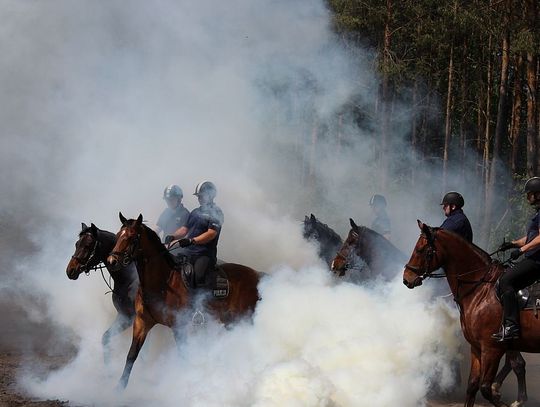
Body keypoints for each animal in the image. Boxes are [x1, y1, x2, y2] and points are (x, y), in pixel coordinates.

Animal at [66, 223, 139, 364]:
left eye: (88, 245)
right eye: (77, 244)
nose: (70, 270)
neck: (128, 281)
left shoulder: (132, 317)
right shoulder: (123, 315)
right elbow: (105, 338)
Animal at [106, 214, 262, 388]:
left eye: (132, 237)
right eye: (118, 236)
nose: (112, 260)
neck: (162, 281)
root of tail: (257, 275)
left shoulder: (178, 326)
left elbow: (183, 355)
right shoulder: (142, 321)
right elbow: (131, 355)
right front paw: (119, 388)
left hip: (245, 318)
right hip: (230, 321)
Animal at [404, 223, 536, 407]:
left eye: (421, 249)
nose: (406, 278)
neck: (482, 289)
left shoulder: (492, 348)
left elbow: (487, 387)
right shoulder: (477, 347)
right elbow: (473, 385)